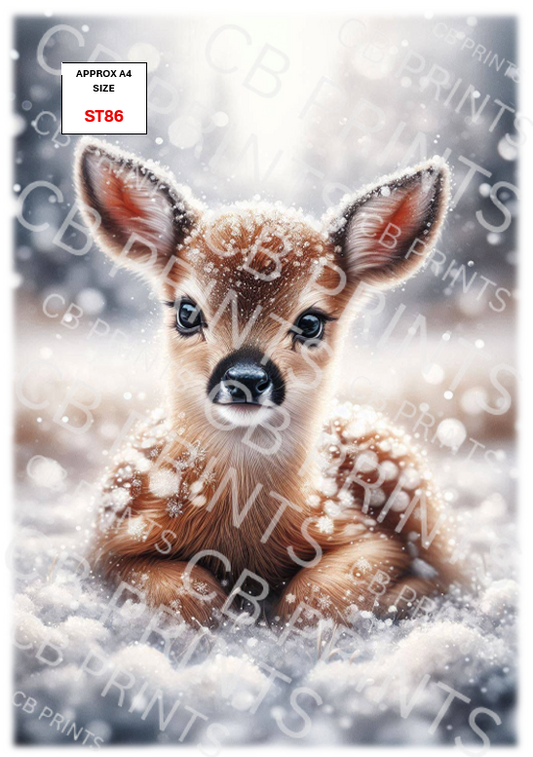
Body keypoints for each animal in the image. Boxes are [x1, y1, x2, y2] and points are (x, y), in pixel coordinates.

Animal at [74, 137, 460, 629]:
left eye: (311, 321)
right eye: (186, 311)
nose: (245, 378)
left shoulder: (366, 534)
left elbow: (316, 593)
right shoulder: (108, 541)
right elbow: (180, 591)